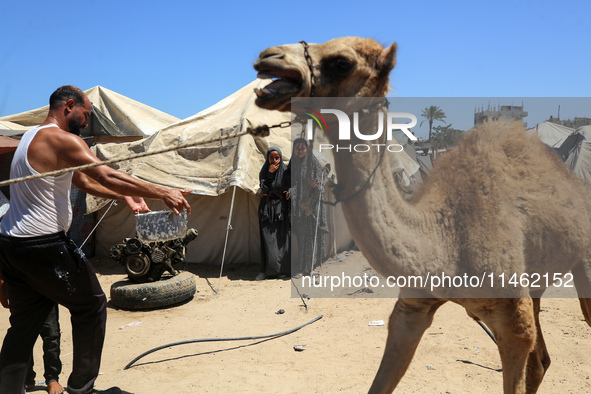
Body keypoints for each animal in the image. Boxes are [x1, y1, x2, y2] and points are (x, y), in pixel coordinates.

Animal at [253, 36, 591, 390]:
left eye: (342, 62)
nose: (268, 57)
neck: (447, 238)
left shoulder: (513, 319)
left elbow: (520, 345)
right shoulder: (413, 306)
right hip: (536, 282)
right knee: (541, 361)